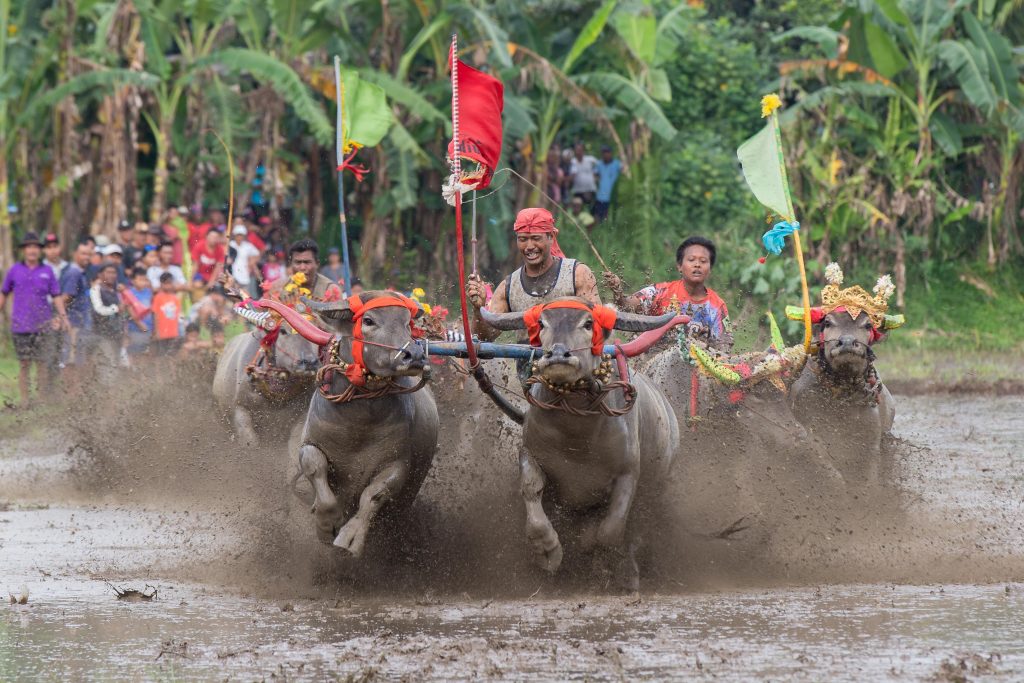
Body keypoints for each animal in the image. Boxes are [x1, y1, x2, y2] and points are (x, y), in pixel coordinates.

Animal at [280, 292, 440, 557]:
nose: (415, 356)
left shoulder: (398, 463)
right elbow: (315, 465)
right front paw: (327, 524)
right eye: (368, 320)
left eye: (407, 323)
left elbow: (374, 494)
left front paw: (350, 537)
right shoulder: (310, 443)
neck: (358, 425)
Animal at [479, 299, 679, 593]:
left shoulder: (628, 474)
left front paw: (597, 557)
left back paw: (629, 574)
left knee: (637, 531)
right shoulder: (531, 454)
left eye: (588, 323)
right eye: (542, 323)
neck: (575, 434)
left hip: (658, 488)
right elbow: (531, 492)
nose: (557, 355)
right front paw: (547, 551)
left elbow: (609, 531)